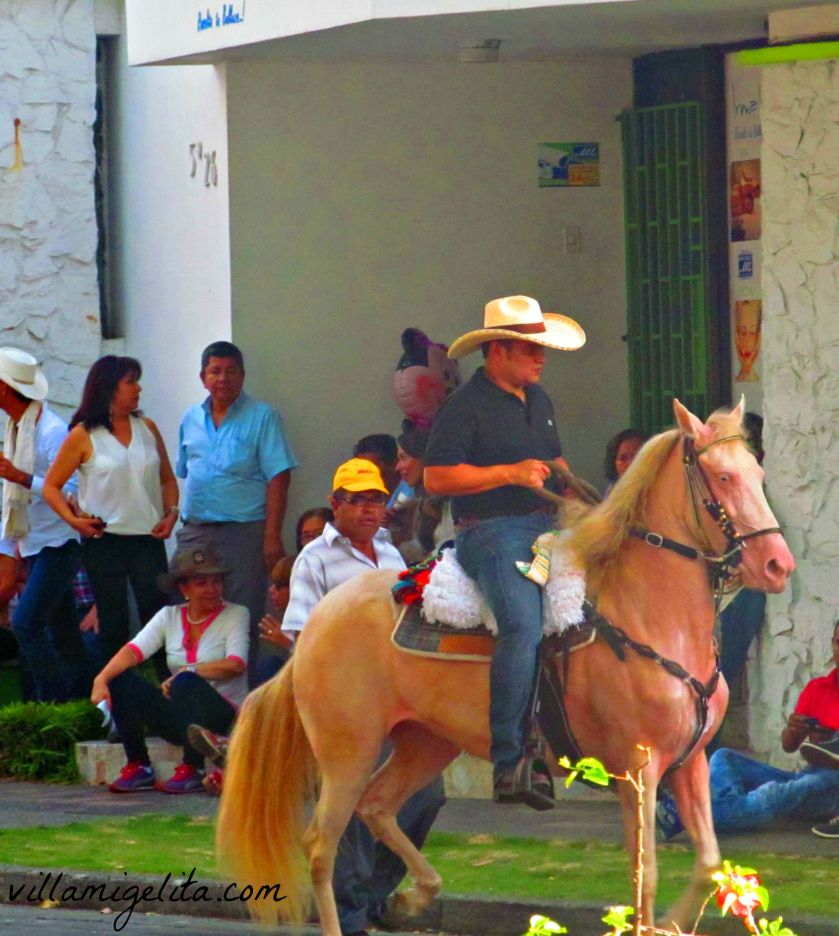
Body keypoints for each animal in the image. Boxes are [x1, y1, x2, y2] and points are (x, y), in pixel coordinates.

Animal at [216, 397, 794, 934]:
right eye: (723, 477)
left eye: (759, 474)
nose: (777, 565)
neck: (645, 614)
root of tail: (315, 622)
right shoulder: (637, 768)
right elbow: (645, 878)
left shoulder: (689, 763)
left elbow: (709, 864)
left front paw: (675, 920)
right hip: (347, 752)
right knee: (322, 845)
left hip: (426, 741)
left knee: (378, 807)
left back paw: (412, 898)